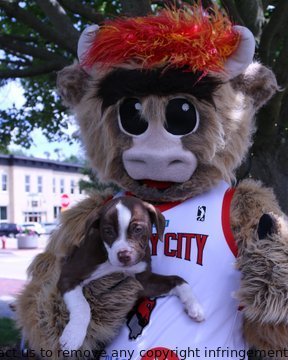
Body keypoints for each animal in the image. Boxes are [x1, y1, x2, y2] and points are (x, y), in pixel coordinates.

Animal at [57, 197, 204, 352]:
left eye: (138, 229)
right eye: (108, 231)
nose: (123, 255)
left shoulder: (144, 281)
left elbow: (177, 280)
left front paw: (194, 305)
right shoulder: (68, 276)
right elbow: (82, 305)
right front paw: (73, 335)